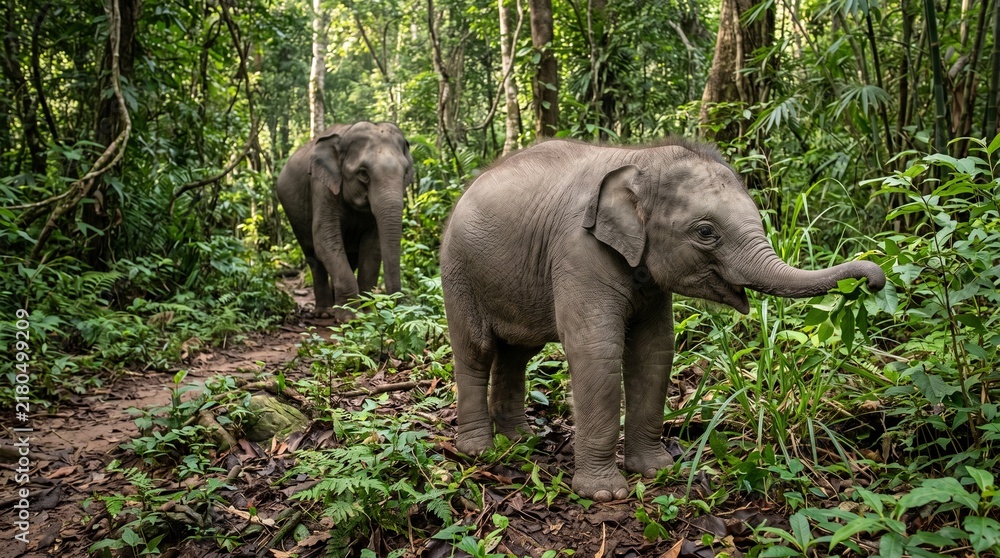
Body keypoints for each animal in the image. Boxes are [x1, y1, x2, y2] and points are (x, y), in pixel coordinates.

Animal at [277, 121, 414, 320]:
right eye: (363, 173)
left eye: (405, 173)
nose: (399, 308)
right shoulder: (321, 187)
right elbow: (324, 238)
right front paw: (350, 318)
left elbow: (373, 247)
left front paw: (368, 314)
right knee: (314, 258)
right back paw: (325, 312)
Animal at [440, 138, 886, 502]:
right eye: (706, 232)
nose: (874, 279)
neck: (641, 159)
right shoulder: (578, 250)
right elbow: (596, 351)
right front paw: (604, 495)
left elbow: (654, 351)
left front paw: (655, 470)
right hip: (458, 270)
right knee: (477, 349)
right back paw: (479, 449)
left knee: (518, 352)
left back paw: (522, 440)